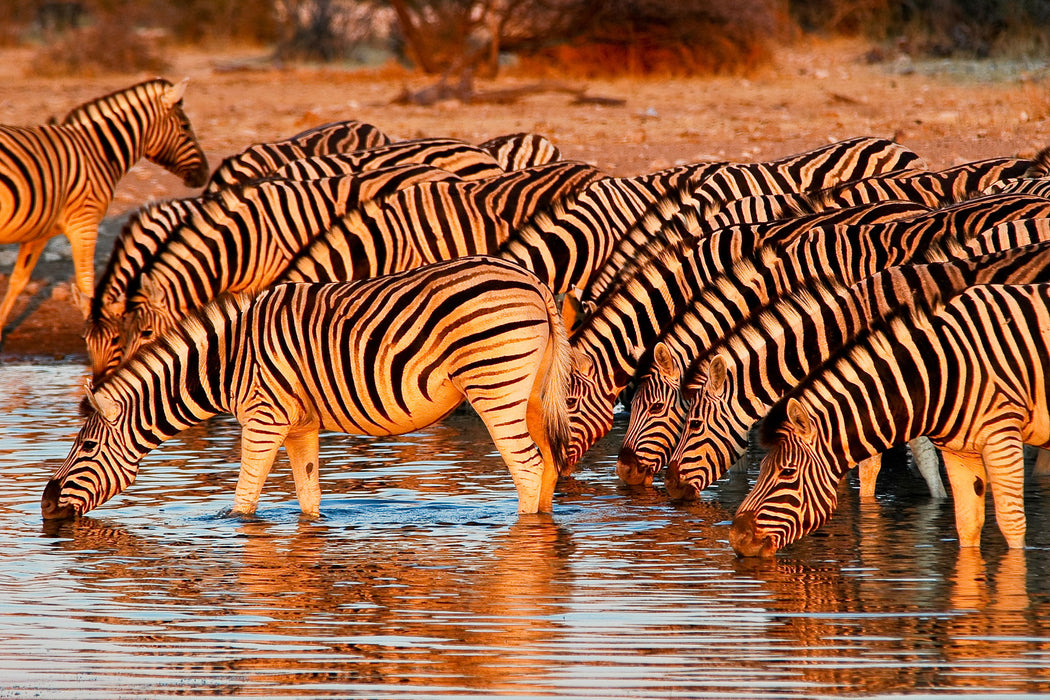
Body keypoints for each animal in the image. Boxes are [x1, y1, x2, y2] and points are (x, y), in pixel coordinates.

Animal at [0, 77, 207, 335]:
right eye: (185, 126)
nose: (205, 173)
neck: (97, 152)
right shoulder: (85, 222)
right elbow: (87, 285)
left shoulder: (40, 231)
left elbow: (18, 280)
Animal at [40, 257, 571, 520]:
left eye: (86, 448)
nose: (44, 506)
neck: (225, 364)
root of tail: (534, 283)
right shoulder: (300, 426)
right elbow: (308, 497)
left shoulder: (263, 417)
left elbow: (244, 500)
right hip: (530, 393)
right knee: (548, 466)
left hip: (494, 386)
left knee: (527, 468)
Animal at [730, 285, 1050, 558]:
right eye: (762, 469)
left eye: (787, 472)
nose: (735, 538)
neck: (936, 373)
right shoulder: (960, 452)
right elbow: (967, 525)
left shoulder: (1002, 436)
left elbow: (1011, 523)